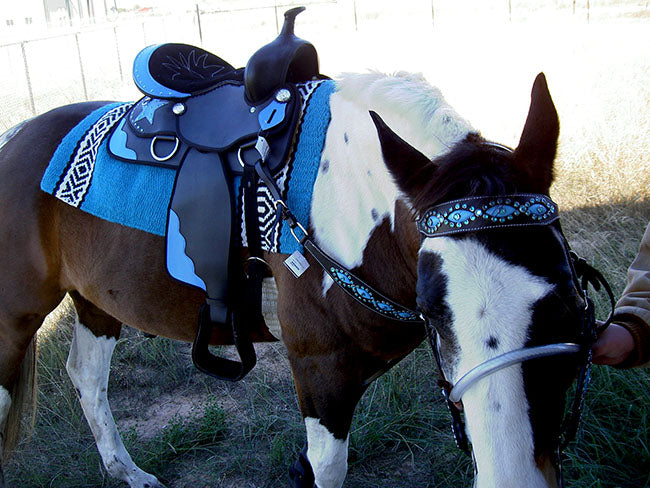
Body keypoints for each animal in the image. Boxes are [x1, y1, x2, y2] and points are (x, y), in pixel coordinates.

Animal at [0, 69, 597, 488]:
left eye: (569, 306)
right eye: (435, 313)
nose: (515, 480)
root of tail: (15, 135)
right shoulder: (319, 370)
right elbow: (327, 469)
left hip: (97, 302)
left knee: (86, 377)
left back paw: (128, 471)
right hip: (15, 318)